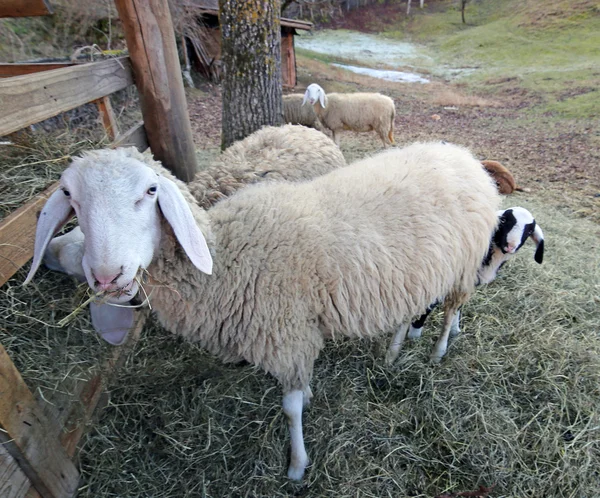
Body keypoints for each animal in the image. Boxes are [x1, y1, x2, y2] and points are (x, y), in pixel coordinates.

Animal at [25, 141, 500, 482]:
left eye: (151, 190)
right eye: (69, 195)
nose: (108, 275)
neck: (226, 257)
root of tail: (464, 156)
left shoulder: (287, 335)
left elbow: (290, 409)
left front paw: (297, 466)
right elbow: (301, 394)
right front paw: (308, 404)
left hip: (463, 264)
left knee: (452, 308)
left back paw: (439, 349)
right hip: (418, 273)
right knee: (416, 310)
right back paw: (395, 350)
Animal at [386, 204, 548, 364]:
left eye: (529, 230)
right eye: (504, 221)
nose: (510, 246)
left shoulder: (464, 284)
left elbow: (455, 309)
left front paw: (453, 331)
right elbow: (429, 306)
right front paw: (414, 335)